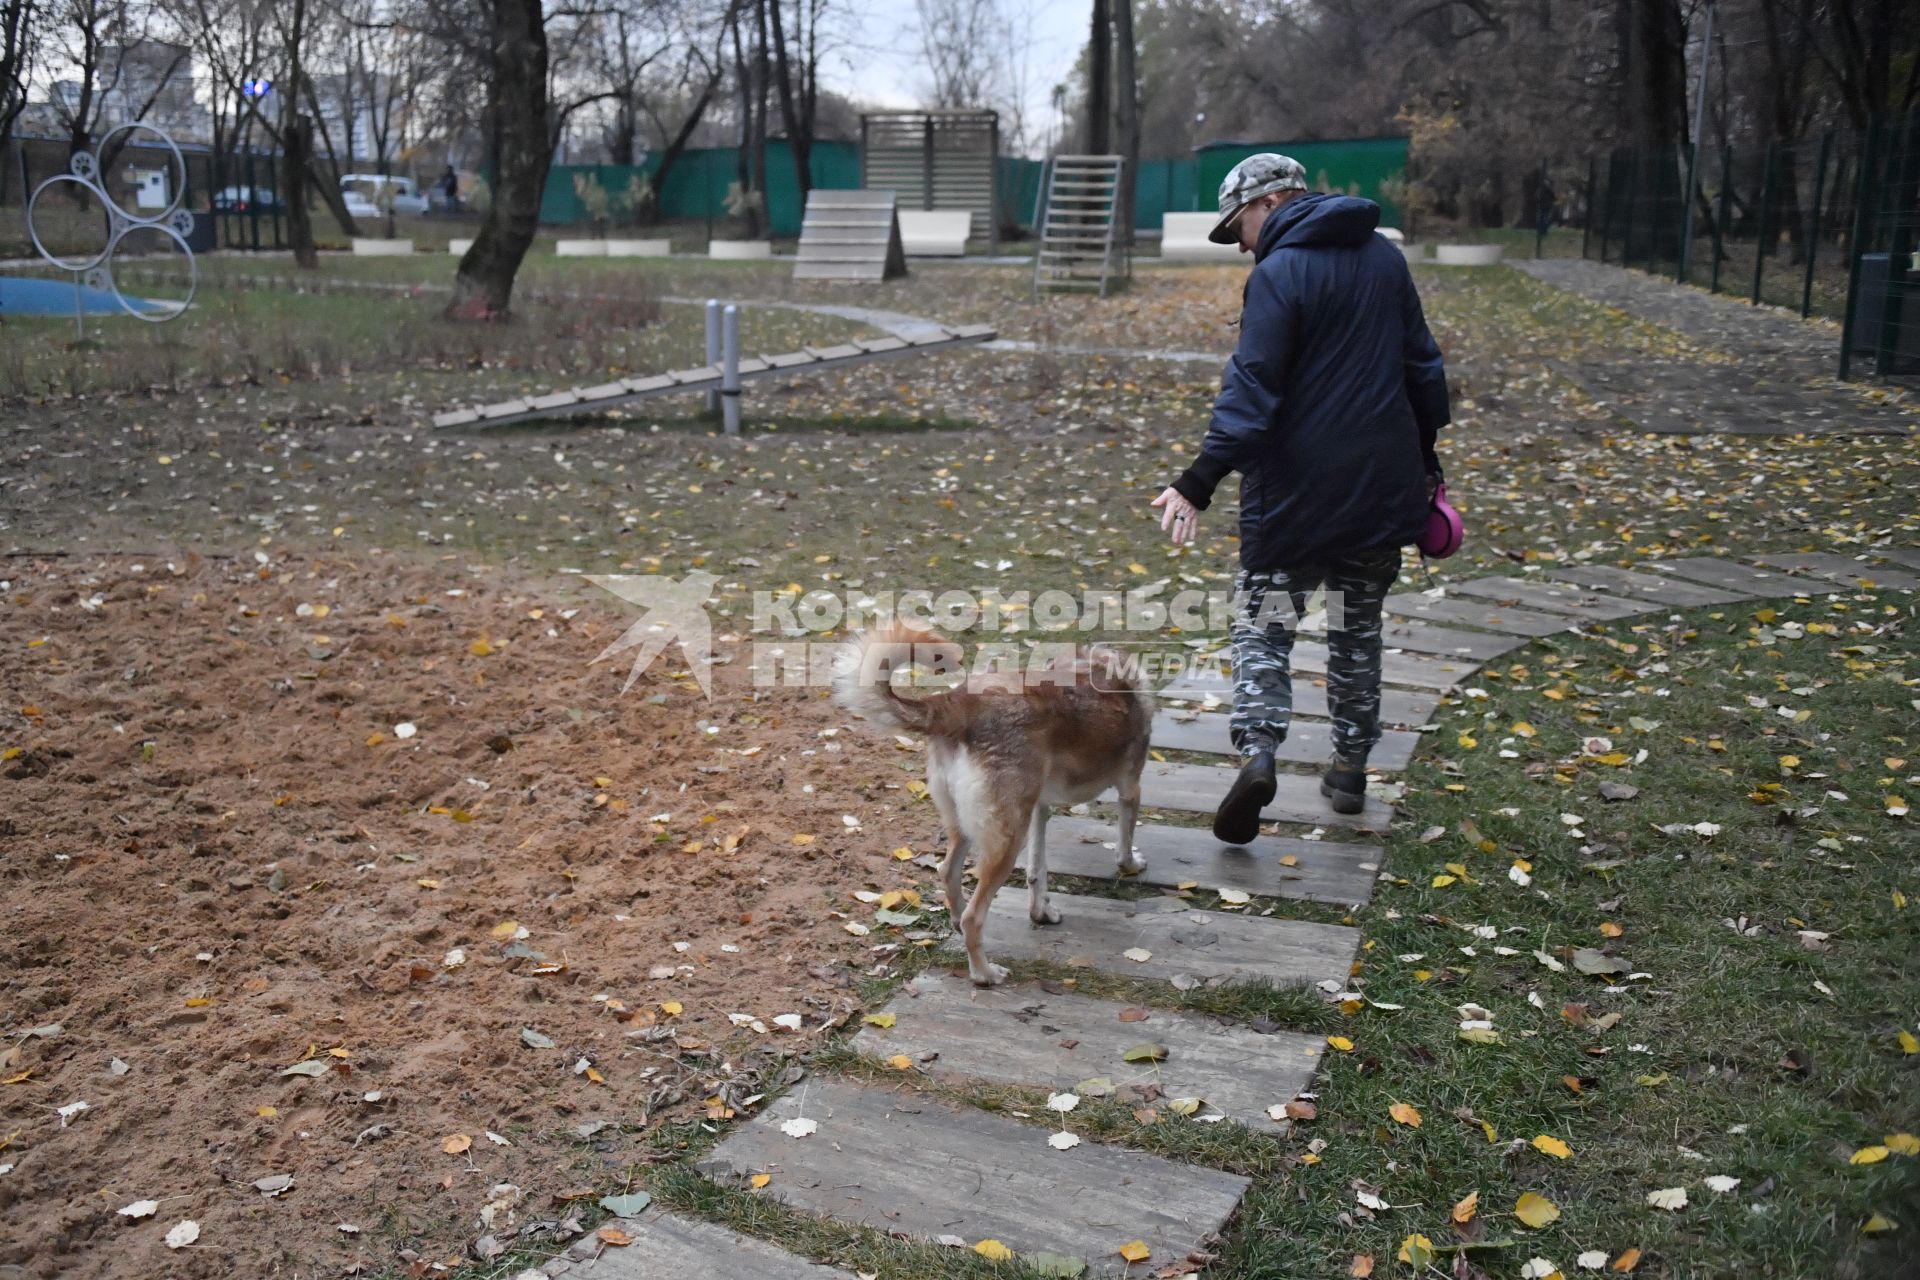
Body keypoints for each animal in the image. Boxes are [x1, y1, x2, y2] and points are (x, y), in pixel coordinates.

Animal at [829, 625, 1152, 990]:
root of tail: (957, 704)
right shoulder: (1130, 787)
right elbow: (1124, 843)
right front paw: (1132, 864)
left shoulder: (1038, 810)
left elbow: (1037, 871)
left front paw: (1041, 913)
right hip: (1007, 841)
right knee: (975, 917)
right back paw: (984, 973)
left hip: (976, 823)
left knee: (948, 872)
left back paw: (956, 920)